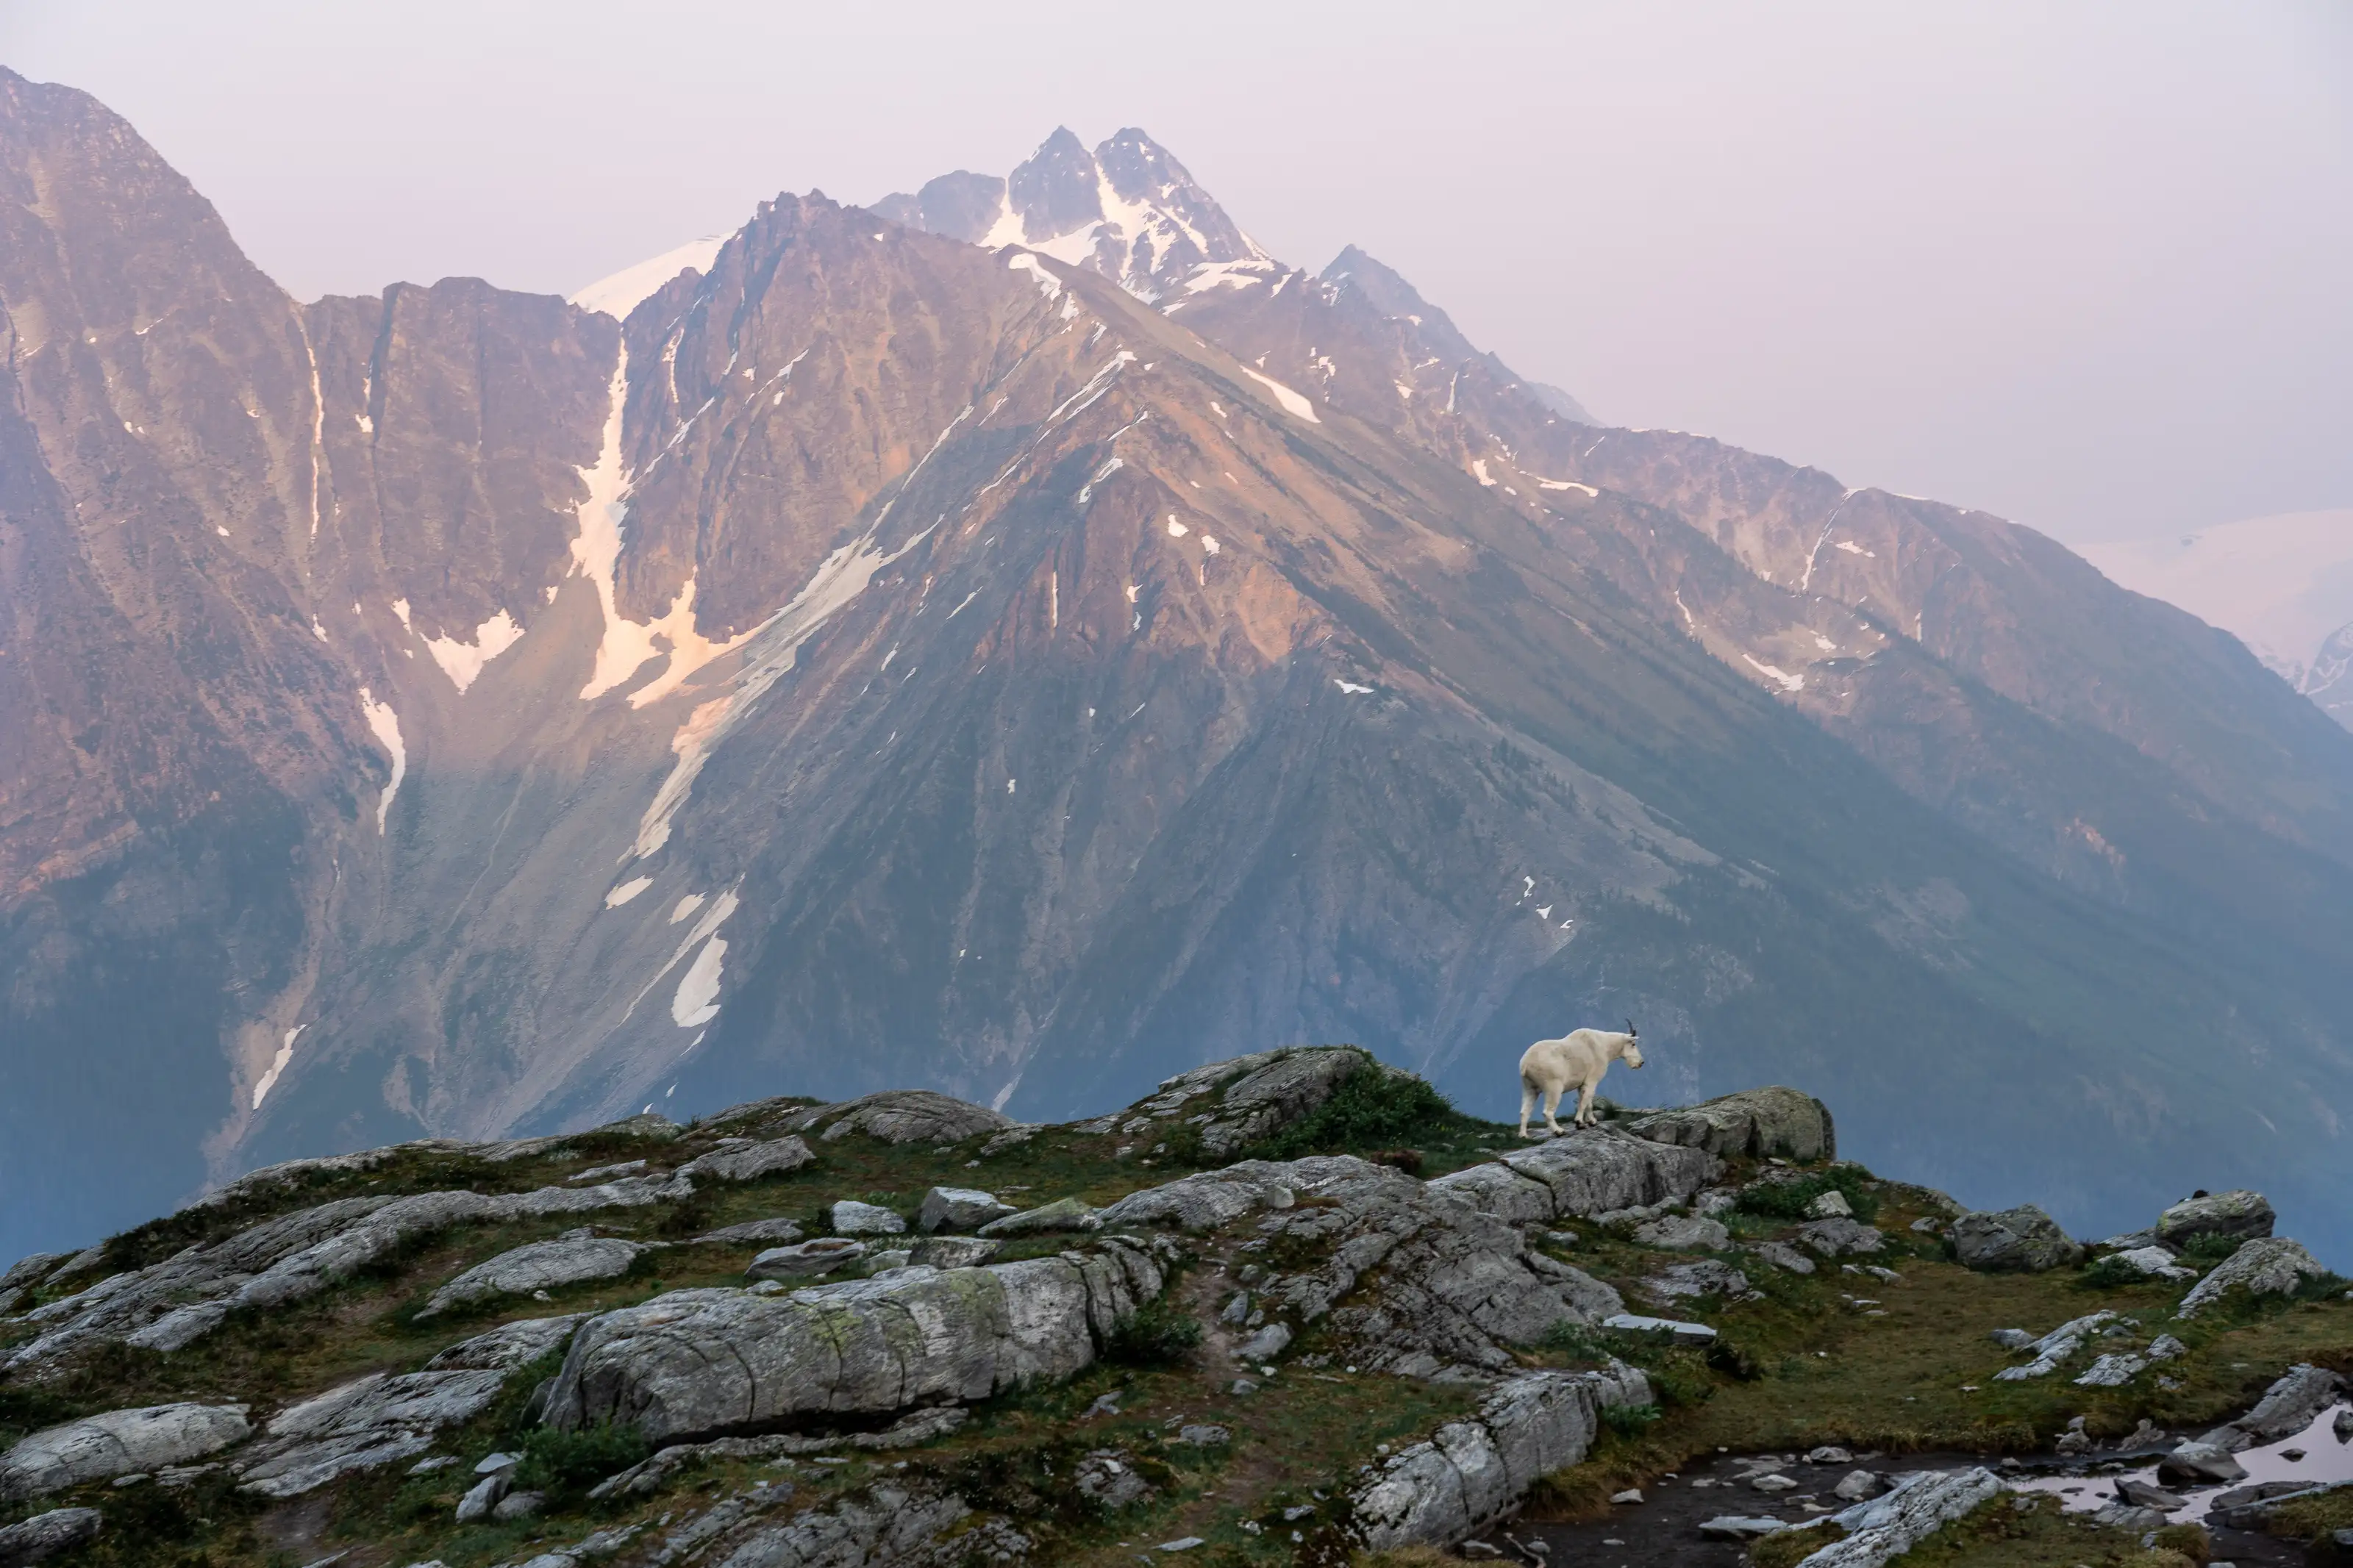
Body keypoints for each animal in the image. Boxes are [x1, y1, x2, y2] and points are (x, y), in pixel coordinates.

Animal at [1515, 1025, 1647, 1133]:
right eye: (1633, 1044)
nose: (1641, 1063)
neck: (1604, 1045)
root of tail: (1525, 1065)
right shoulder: (1592, 1079)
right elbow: (1586, 1100)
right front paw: (1580, 1123)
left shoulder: (1581, 1083)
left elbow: (1586, 1101)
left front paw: (1591, 1122)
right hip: (1553, 1086)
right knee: (1547, 1111)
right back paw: (1559, 1131)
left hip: (1529, 1087)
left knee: (1524, 1111)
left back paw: (1524, 1136)